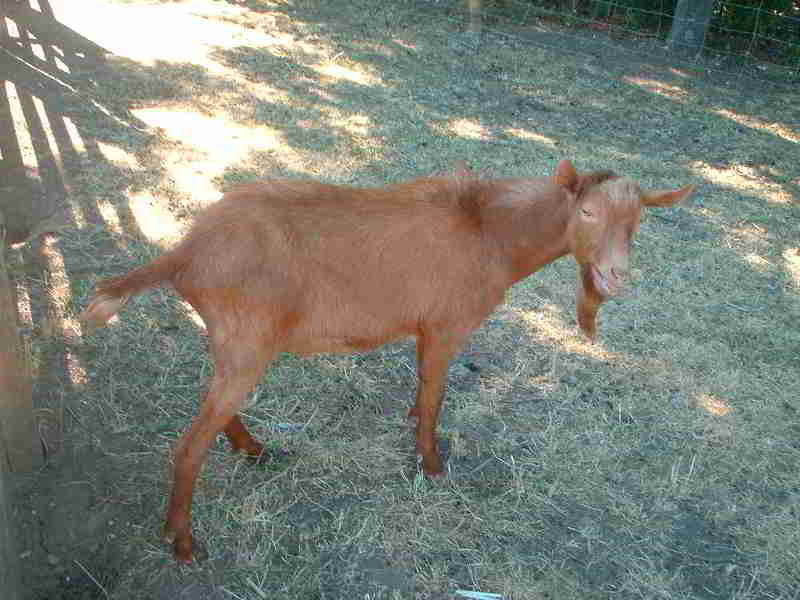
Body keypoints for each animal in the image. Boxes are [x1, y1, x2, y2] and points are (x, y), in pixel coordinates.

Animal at [80, 159, 694, 563]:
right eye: (586, 211)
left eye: (638, 222)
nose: (615, 276)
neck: (490, 233)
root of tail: (186, 253)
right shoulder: (448, 324)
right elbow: (435, 390)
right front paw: (432, 464)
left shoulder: (423, 326)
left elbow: (422, 388)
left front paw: (413, 430)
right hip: (248, 338)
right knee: (188, 446)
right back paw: (183, 542)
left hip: (233, 343)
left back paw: (252, 448)